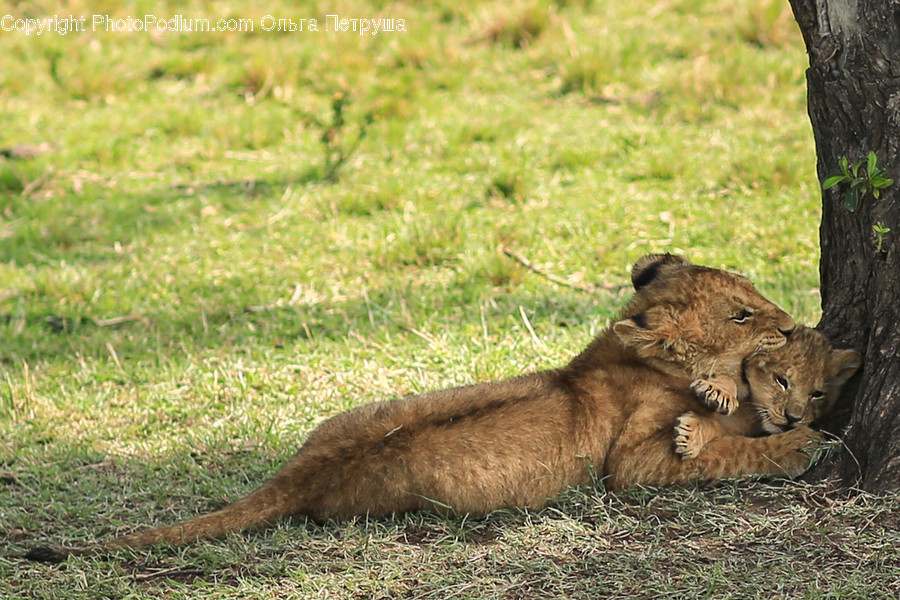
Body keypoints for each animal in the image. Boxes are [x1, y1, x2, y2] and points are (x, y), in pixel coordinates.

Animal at [25, 254, 810, 562]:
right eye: (743, 314)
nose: (793, 324)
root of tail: (301, 472)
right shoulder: (631, 464)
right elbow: (723, 449)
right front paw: (791, 440)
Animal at [673, 326, 862, 460]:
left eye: (817, 394)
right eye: (782, 381)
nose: (792, 418)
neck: (751, 408)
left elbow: (718, 428)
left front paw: (690, 434)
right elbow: (727, 374)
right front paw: (717, 393)